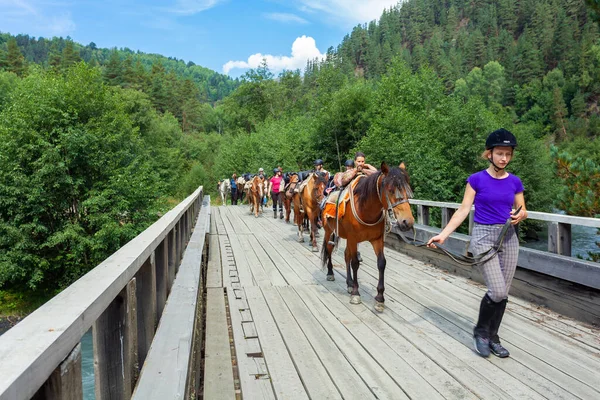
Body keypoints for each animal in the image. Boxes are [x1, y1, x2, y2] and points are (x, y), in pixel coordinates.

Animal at [322, 162, 414, 312]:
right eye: (390, 190)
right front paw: (355, 293)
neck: (366, 209)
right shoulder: (353, 238)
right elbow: (355, 263)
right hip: (329, 231)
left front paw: (380, 298)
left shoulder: (377, 239)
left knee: (346, 255)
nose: (407, 222)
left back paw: (349, 282)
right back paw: (330, 273)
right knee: (329, 249)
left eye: (408, 190)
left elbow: (381, 263)